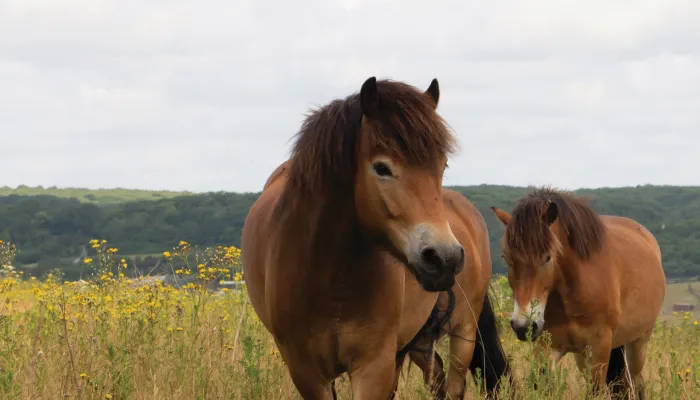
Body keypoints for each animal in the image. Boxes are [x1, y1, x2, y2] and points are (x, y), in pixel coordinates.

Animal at [242, 76, 467, 399]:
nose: (445, 258)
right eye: (382, 168)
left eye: (442, 165)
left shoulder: (374, 366)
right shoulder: (307, 372)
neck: (331, 279)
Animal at [490, 187, 666, 399]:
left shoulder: (599, 349)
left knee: (637, 383)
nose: (523, 326)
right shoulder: (547, 349)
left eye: (547, 257)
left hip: (638, 343)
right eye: (506, 257)